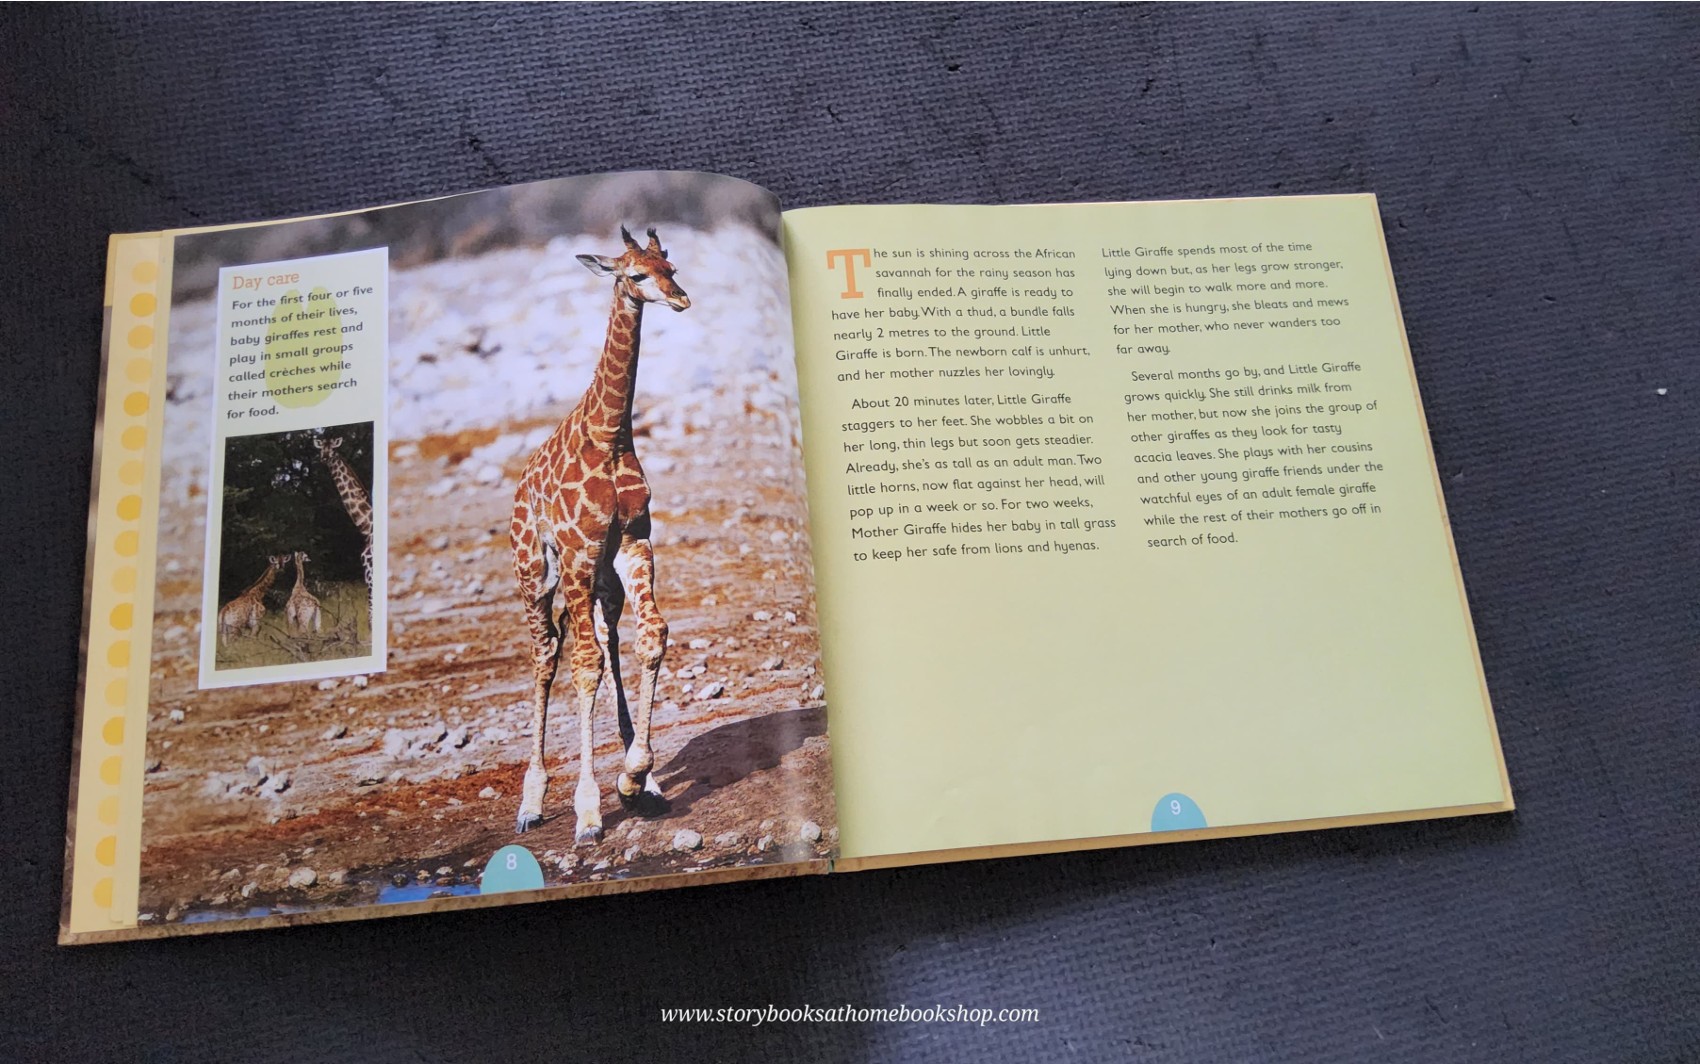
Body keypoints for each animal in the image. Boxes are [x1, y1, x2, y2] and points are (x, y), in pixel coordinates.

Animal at [509, 225, 690, 841]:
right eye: (634, 274)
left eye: (670, 267)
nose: (682, 299)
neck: (610, 437)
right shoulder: (579, 547)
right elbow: (582, 666)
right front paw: (588, 810)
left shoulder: (633, 539)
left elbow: (652, 634)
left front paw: (636, 775)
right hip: (536, 568)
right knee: (547, 652)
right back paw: (531, 801)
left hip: (597, 573)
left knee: (604, 636)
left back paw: (643, 779)